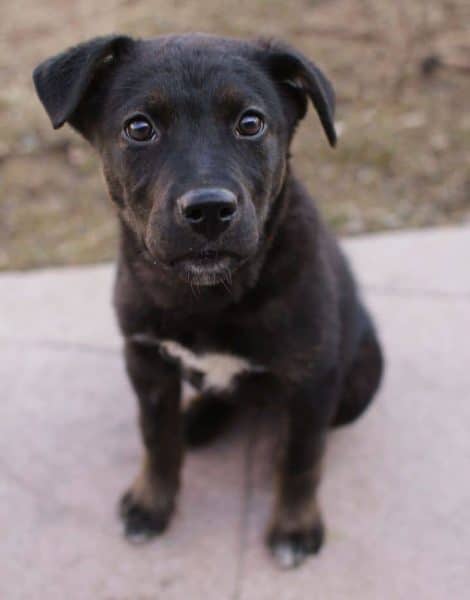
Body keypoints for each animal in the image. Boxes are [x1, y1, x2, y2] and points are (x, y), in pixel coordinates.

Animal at [35, 32, 384, 568]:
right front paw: (151, 503)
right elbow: (157, 441)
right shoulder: (145, 360)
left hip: (362, 374)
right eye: (140, 128)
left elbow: (302, 460)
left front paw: (294, 525)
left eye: (250, 123)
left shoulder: (312, 378)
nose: (209, 211)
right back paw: (198, 418)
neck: (207, 296)